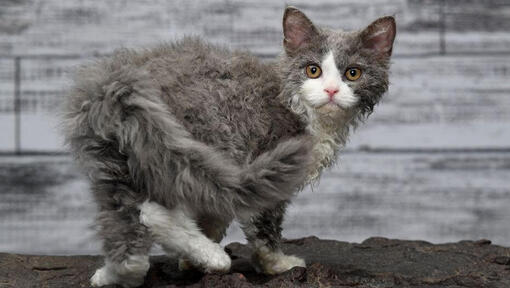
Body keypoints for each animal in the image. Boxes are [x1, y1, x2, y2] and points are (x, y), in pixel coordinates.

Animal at [61, 5, 396, 288]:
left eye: (353, 73)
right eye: (312, 70)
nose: (331, 90)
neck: (297, 106)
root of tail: (117, 82)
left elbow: (216, 212)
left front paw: (191, 260)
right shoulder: (267, 161)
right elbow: (263, 226)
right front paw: (276, 264)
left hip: (120, 156)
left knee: (126, 216)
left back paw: (115, 274)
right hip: (200, 141)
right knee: (154, 210)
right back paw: (213, 257)